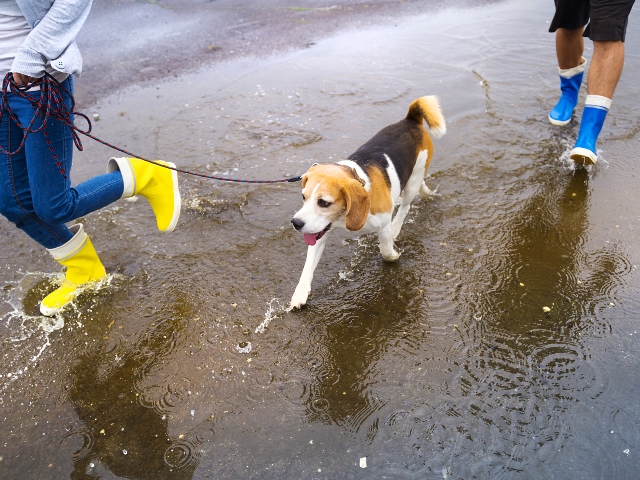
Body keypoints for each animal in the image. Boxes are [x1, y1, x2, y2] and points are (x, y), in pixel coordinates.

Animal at [290, 95, 444, 310]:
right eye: (303, 197)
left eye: (324, 202)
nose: (296, 223)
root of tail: (410, 120)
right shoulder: (320, 231)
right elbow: (308, 266)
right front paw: (300, 293)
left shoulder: (382, 224)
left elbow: (385, 250)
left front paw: (394, 255)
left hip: (413, 180)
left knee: (406, 206)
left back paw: (397, 226)